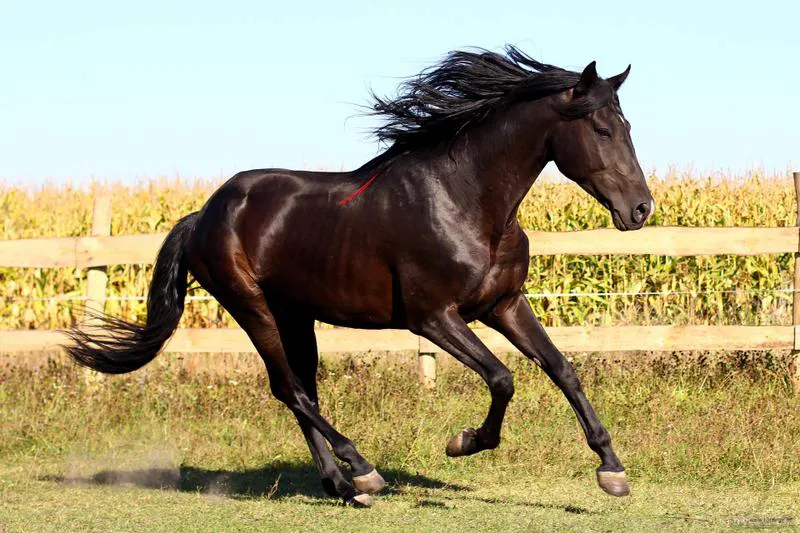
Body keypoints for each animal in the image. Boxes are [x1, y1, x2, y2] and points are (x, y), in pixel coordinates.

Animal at [65, 45, 654, 507]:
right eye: (602, 129)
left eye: (628, 127)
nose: (641, 209)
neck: (465, 200)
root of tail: (203, 214)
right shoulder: (432, 318)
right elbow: (502, 378)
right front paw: (462, 442)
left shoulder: (504, 305)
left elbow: (562, 369)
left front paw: (612, 471)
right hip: (252, 308)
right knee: (289, 389)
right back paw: (363, 472)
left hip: (295, 315)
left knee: (301, 391)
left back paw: (343, 486)